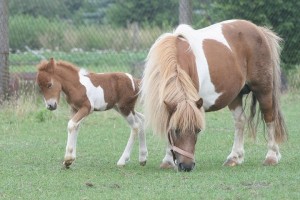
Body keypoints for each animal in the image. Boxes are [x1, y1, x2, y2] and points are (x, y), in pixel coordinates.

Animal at [142, 19, 288, 172]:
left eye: (198, 130)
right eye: (176, 130)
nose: (187, 166)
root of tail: (259, 30)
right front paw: (168, 160)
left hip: (263, 89)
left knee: (269, 117)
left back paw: (271, 156)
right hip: (235, 95)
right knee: (240, 121)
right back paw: (234, 157)